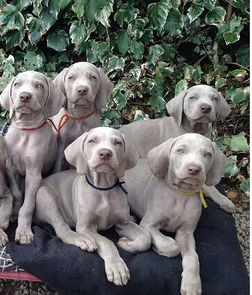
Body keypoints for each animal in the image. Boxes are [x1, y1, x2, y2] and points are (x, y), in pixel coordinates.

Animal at [0, 71, 66, 245]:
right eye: (17, 84)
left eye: (39, 86)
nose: (24, 96)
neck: (26, 129)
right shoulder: (10, 168)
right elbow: (17, 194)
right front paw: (14, 212)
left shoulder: (34, 174)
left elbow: (28, 206)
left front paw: (23, 232)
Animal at [34, 126, 151, 286]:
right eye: (91, 141)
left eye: (118, 143)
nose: (105, 153)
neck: (103, 188)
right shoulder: (85, 227)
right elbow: (106, 241)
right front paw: (117, 267)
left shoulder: (123, 223)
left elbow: (146, 238)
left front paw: (126, 243)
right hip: (45, 195)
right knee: (62, 229)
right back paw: (82, 240)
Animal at [125, 134, 227, 295]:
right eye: (180, 150)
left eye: (208, 154)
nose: (194, 169)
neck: (181, 194)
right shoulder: (148, 224)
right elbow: (171, 246)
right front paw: (159, 248)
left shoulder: (185, 232)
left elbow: (193, 256)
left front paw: (191, 284)